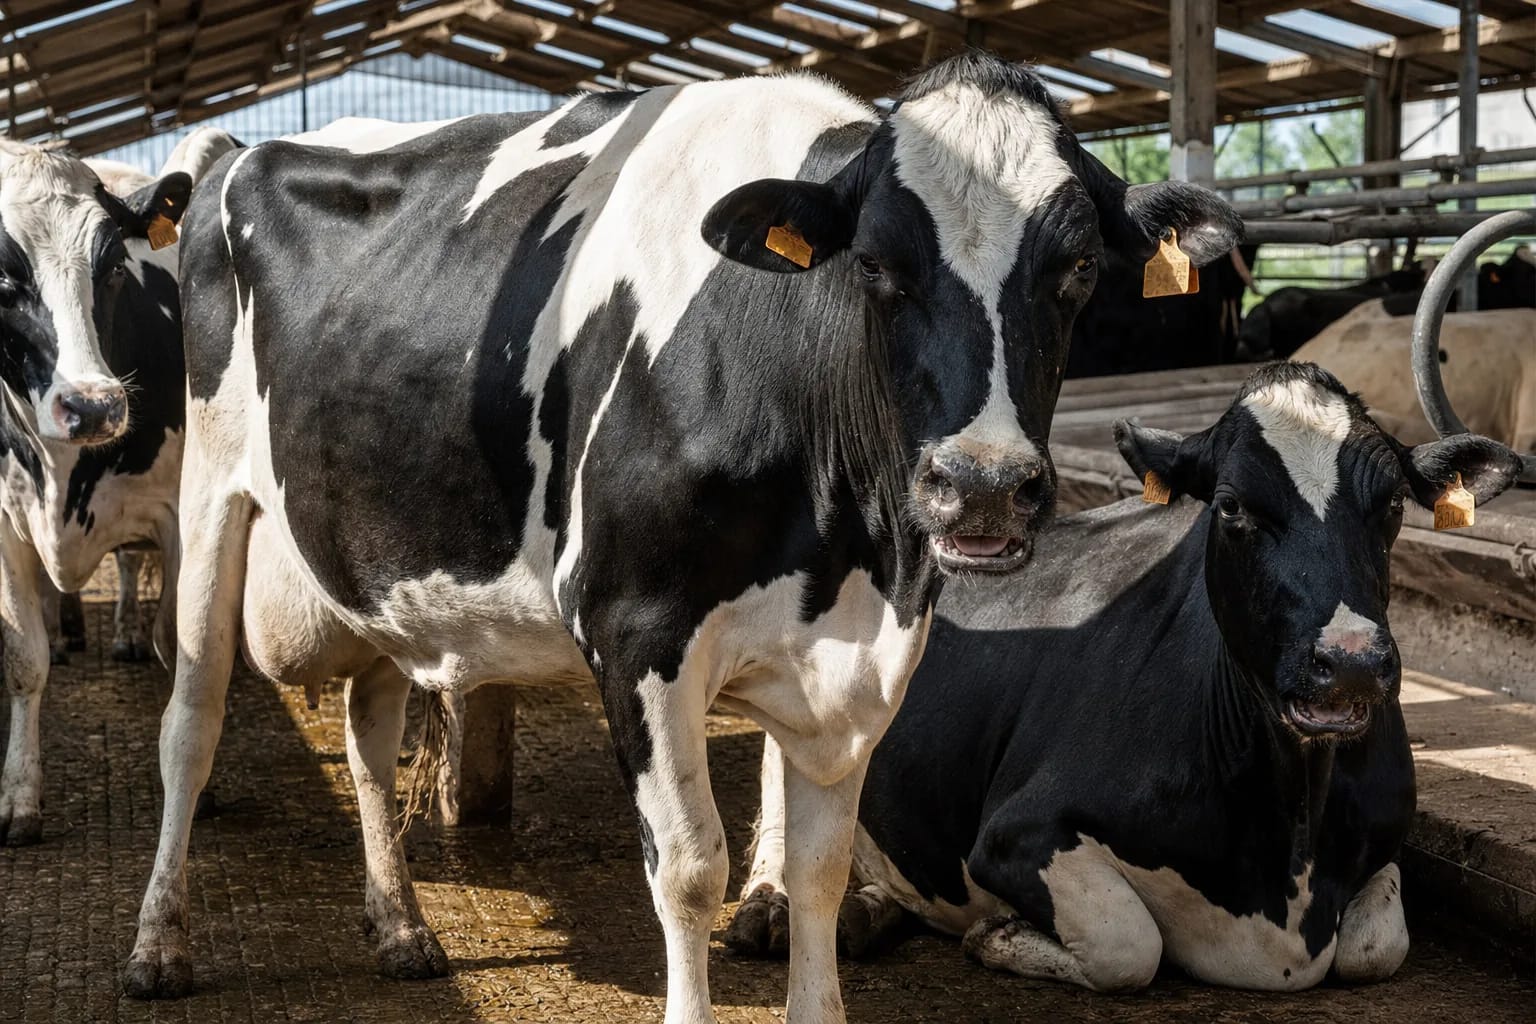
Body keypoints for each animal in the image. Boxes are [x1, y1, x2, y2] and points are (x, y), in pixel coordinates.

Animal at [0, 142, 196, 846]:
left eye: (113, 268)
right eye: (2, 279)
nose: (93, 406)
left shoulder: (175, 513)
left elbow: (175, 640)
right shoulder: (4, 521)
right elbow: (23, 656)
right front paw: (19, 796)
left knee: (130, 565)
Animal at [121, 54, 1240, 1024]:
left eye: (1080, 267)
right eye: (876, 265)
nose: (984, 488)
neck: (849, 544)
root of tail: (235, 150)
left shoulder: (864, 659)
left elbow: (819, 871)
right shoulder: (635, 630)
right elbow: (692, 868)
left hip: (376, 552)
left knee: (367, 734)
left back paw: (399, 926)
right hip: (211, 499)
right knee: (189, 723)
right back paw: (158, 943)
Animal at [784, 362, 1521, 993]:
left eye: (1394, 503)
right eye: (1230, 506)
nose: (1351, 662)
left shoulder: (1387, 839)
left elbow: (1376, 947)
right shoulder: (1013, 834)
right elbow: (1129, 946)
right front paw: (997, 934)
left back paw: (869, 912)